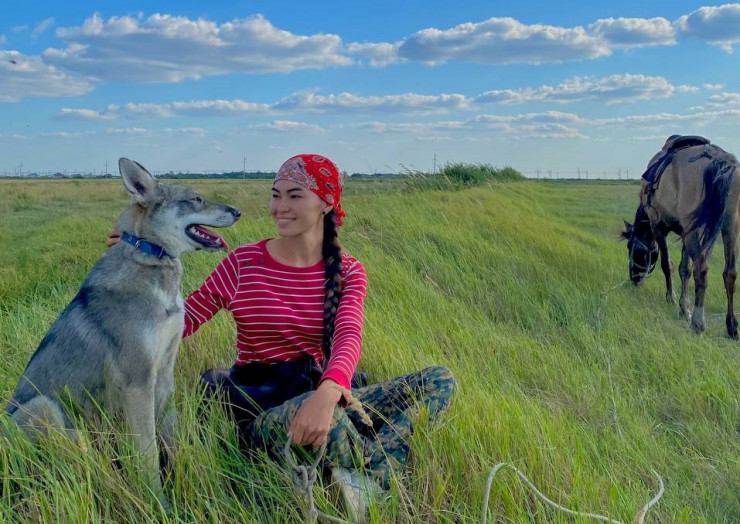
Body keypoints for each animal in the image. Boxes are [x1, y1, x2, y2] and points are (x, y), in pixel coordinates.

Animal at [5, 157, 240, 501]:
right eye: (196, 198)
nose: (238, 212)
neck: (151, 258)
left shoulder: (164, 374)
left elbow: (169, 435)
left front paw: (181, 476)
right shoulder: (138, 382)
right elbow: (148, 451)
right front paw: (158, 499)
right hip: (44, 407)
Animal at [622, 136, 740, 338]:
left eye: (631, 247)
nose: (634, 278)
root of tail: (719, 160)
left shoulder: (658, 227)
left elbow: (667, 264)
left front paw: (671, 298)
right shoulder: (686, 233)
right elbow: (684, 269)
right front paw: (684, 307)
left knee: (701, 270)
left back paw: (698, 323)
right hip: (730, 225)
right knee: (729, 273)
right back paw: (731, 325)